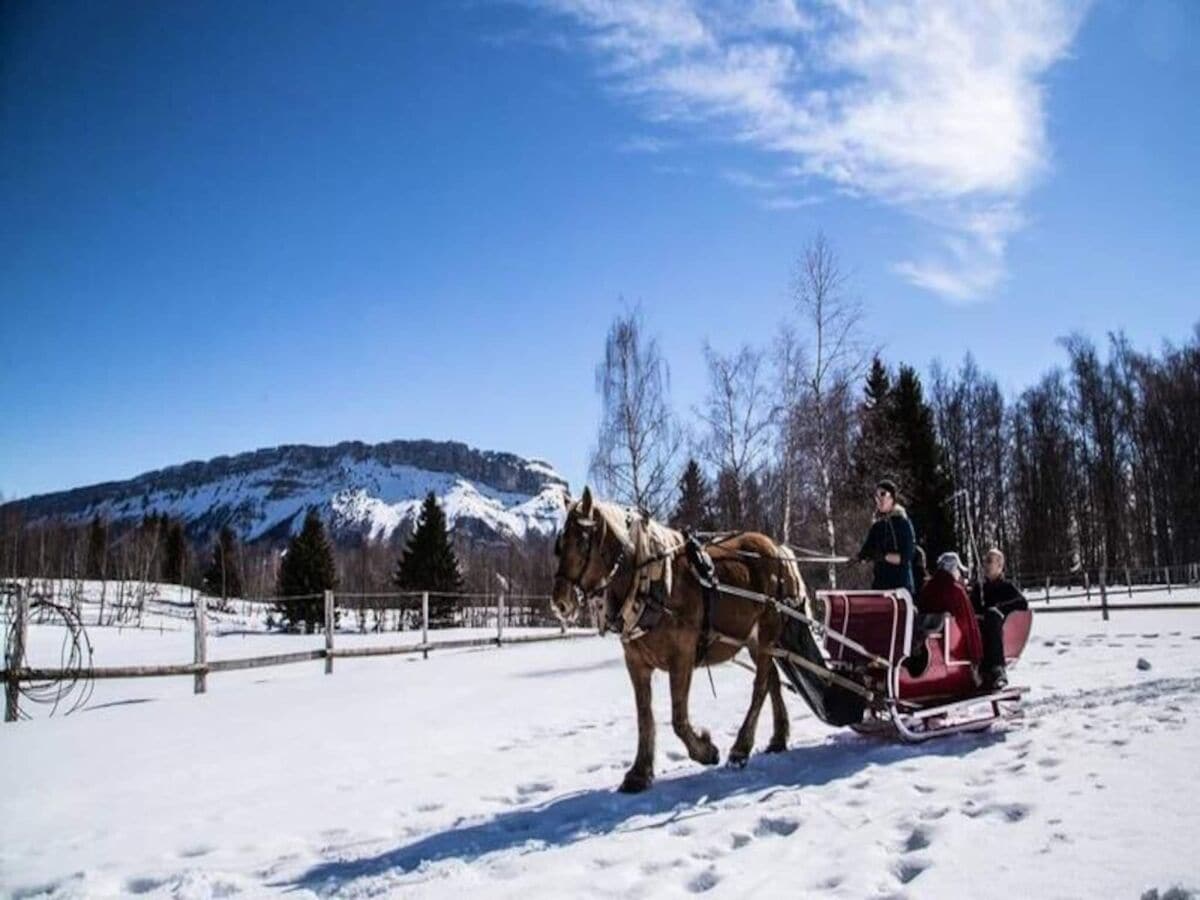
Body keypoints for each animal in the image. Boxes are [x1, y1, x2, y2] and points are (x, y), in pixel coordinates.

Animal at [549, 489, 811, 792]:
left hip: (768, 630)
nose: (560, 602)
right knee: (772, 681)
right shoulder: (636, 662)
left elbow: (678, 718)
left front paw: (706, 750)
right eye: (560, 544)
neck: (652, 584)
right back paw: (778, 738)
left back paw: (740, 749)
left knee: (760, 686)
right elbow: (644, 716)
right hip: (754, 640)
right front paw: (639, 772)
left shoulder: (682, 657)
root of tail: (778, 549)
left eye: (582, 541)